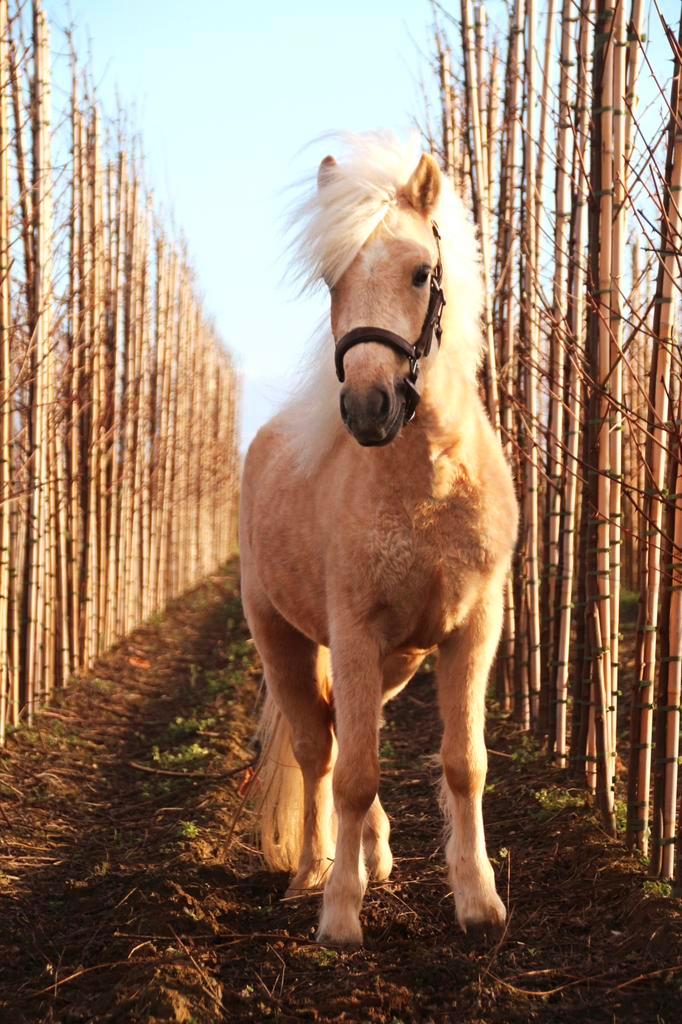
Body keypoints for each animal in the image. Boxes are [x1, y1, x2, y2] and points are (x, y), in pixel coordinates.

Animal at [240, 133, 518, 946]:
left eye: (422, 272)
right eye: (332, 280)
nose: (370, 408)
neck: (428, 487)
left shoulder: (472, 631)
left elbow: (464, 763)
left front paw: (478, 903)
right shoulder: (355, 632)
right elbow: (356, 770)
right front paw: (339, 915)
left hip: (400, 659)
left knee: (348, 728)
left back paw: (375, 853)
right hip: (283, 638)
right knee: (319, 748)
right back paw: (312, 869)